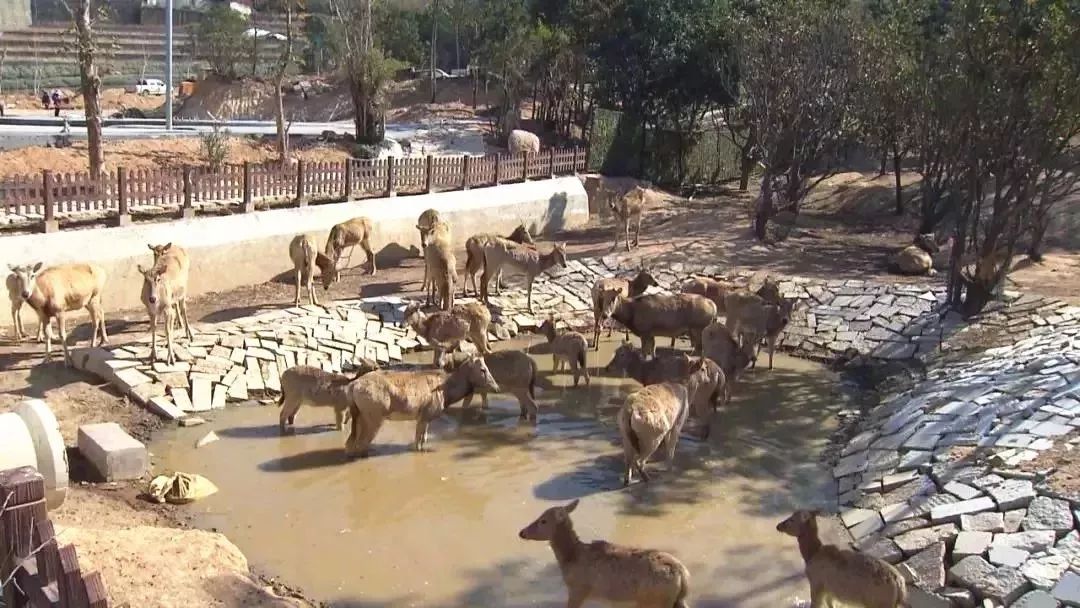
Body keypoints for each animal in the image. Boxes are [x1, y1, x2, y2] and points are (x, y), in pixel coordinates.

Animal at [343, 356, 498, 457]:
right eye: (483, 369)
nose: (496, 387)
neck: (447, 393)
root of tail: (352, 386)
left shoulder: (424, 417)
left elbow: (422, 439)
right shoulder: (426, 414)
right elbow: (419, 441)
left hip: (360, 415)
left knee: (350, 442)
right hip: (374, 415)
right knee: (361, 443)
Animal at [516, 498, 686, 608]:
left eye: (543, 520)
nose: (522, 532)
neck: (570, 558)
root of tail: (682, 574)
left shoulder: (578, 589)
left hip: (652, 601)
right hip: (676, 601)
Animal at [777, 509, 911, 608]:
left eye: (791, 519)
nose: (778, 525)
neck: (811, 554)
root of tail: (900, 586)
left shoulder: (816, 583)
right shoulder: (829, 590)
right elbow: (831, 604)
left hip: (878, 603)